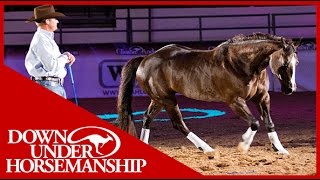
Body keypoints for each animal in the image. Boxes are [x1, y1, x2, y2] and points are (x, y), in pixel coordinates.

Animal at [117, 32, 300, 155]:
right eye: (285, 63)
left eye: (296, 62)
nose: (290, 89)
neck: (243, 63)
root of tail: (145, 59)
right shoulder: (235, 101)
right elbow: (255, 123)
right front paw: (243, 145)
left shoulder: (262, 98)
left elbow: (269, 123)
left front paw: (280, 149)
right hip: (167, 99)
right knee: (178, 124)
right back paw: (207, 149)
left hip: (158, 100)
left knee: (147, 117)